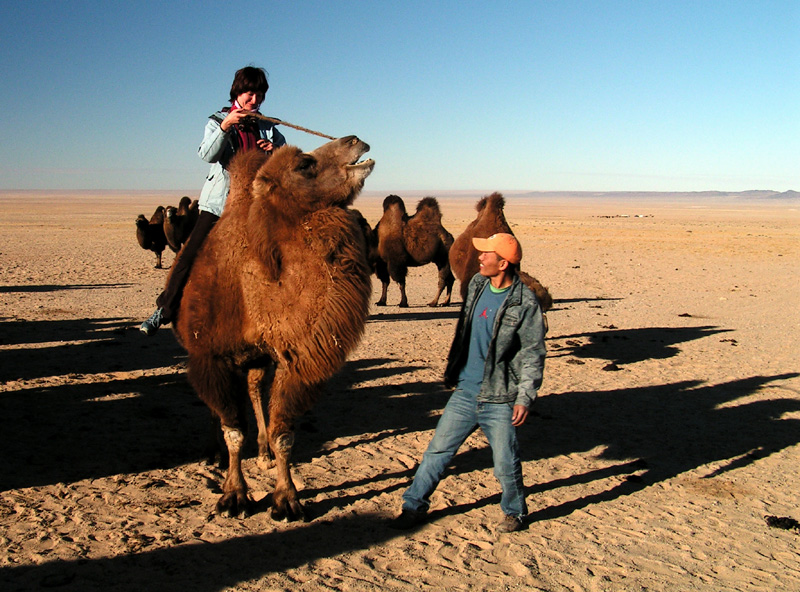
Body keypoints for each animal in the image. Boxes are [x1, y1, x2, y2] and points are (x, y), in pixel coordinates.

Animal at [173, 136, 374, 520]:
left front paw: (286, 499)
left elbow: (284, 434)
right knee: (218, 408)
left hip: (255, 359)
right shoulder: (212, 356)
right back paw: (214, 453)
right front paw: (233, 496)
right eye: (305, 164)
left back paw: (262, 451)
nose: (356, 141)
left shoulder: (293, 359)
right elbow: (233, 431)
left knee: (253, 390)